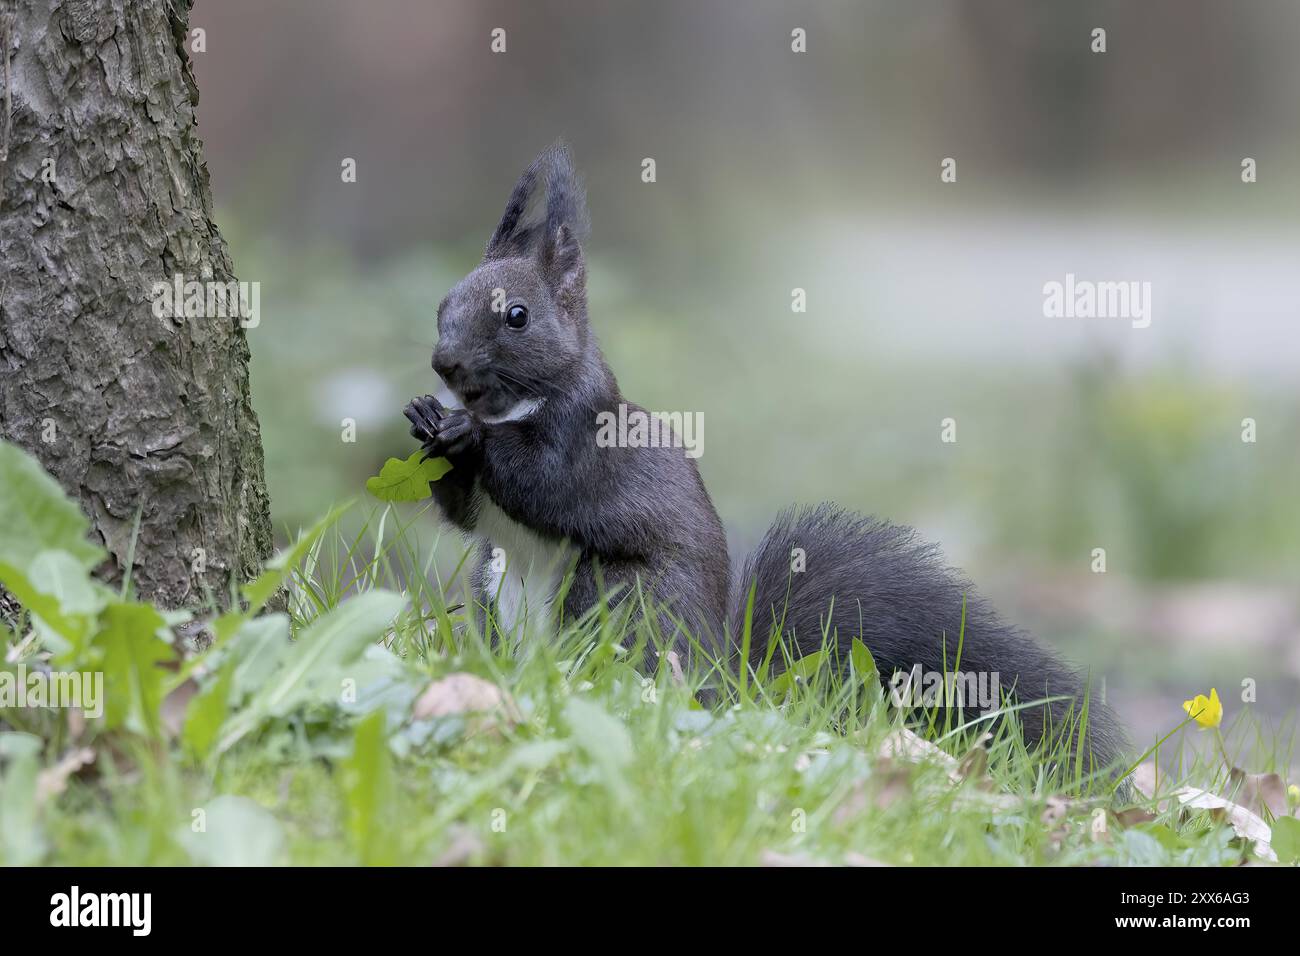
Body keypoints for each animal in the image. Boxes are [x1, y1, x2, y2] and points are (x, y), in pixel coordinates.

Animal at [403, 143, 1128, 785]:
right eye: (441, 304)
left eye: (517, 316)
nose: (444, 365)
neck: (514, 405)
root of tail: (720, 683)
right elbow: (466, 512)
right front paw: (426, 419)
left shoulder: (583, 440)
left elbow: (540, 482)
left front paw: (467, 433)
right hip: (494, 595)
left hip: (622, 599)